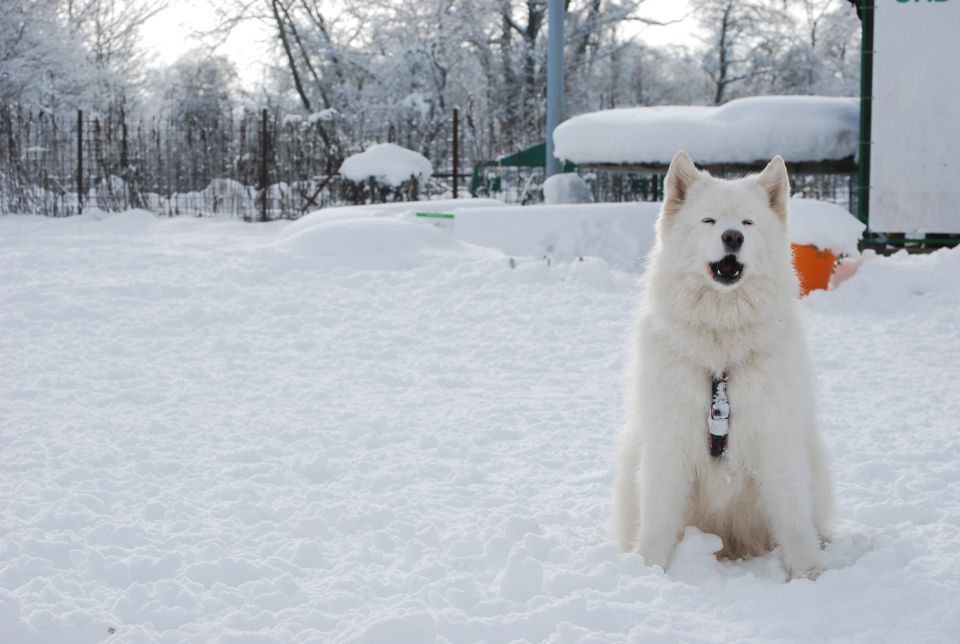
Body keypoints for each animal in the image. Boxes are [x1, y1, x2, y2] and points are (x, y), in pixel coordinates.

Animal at [616, 151, 832, 580]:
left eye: (747, 223)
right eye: (709, 221)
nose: (732, 237)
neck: (721, 354)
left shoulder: (776, 436)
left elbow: (793, 515)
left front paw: (808, 573)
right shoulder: (669, 439)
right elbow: (657, 516)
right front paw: (647, 568)